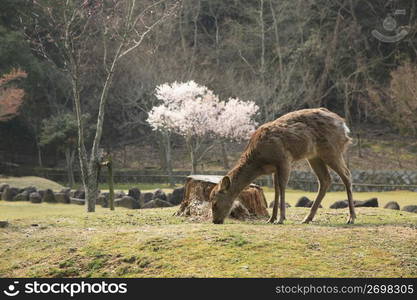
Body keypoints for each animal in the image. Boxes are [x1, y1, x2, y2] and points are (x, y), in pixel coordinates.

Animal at [210, 108, 356, 225]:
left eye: (215, 203)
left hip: (332, 150)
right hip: (314, 156)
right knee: (325, 180)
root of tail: (344, 126)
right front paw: (271, 219)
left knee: (347, 175)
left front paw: (281, 219)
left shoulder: (284, 159)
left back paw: (351, 218)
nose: (215, 221)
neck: (259, 161)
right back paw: (307, 218)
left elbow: (282, 186)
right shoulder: (275, 168)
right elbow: (276, 189)